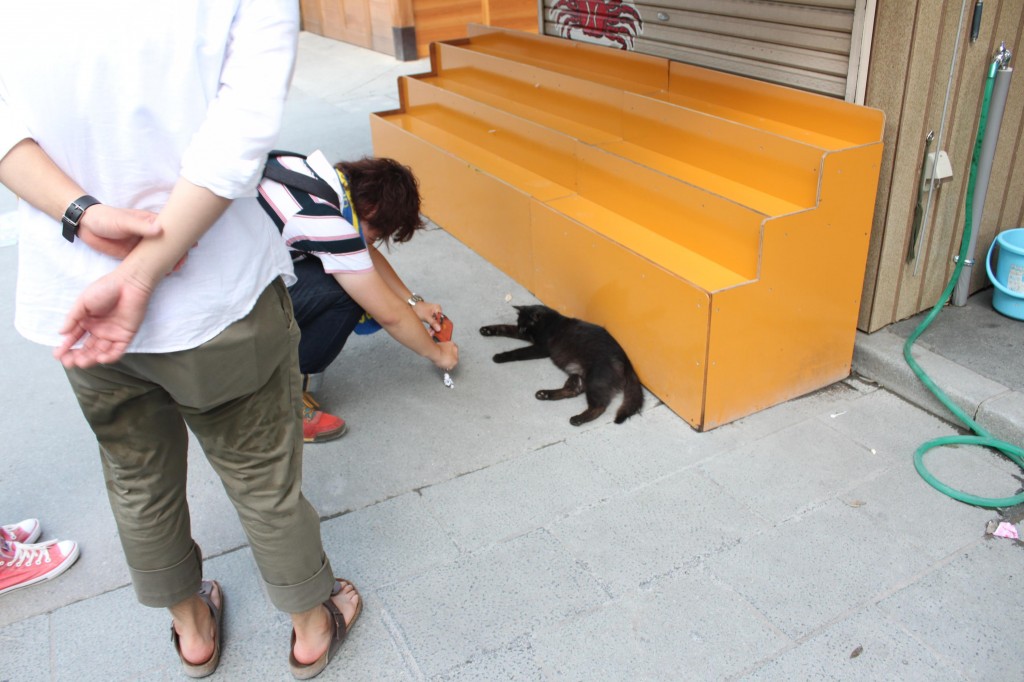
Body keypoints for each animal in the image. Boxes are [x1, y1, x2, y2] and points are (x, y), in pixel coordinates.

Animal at [477, 303, 638, 421]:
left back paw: (577, 419)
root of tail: (628, 362)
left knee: (600, 406)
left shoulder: (540, 348)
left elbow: (518, 352)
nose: (522, 331)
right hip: (578, 375)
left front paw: (500, 356)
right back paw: (544, 394)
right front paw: (487, 330)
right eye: (519, 324)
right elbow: (506, 327)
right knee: (573, 390)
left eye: (526, 326)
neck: (550, 322)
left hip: (595, 380)